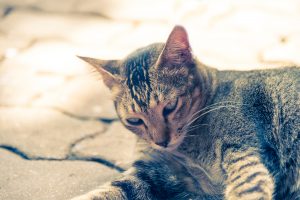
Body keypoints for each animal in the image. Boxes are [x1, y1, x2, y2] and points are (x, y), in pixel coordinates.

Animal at [74, 25, 298, 199]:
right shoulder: (150, 170)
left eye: (170, 106)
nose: (161, 142)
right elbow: (111, 189)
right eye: (134, 120)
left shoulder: (244, 151)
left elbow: (249, 187)